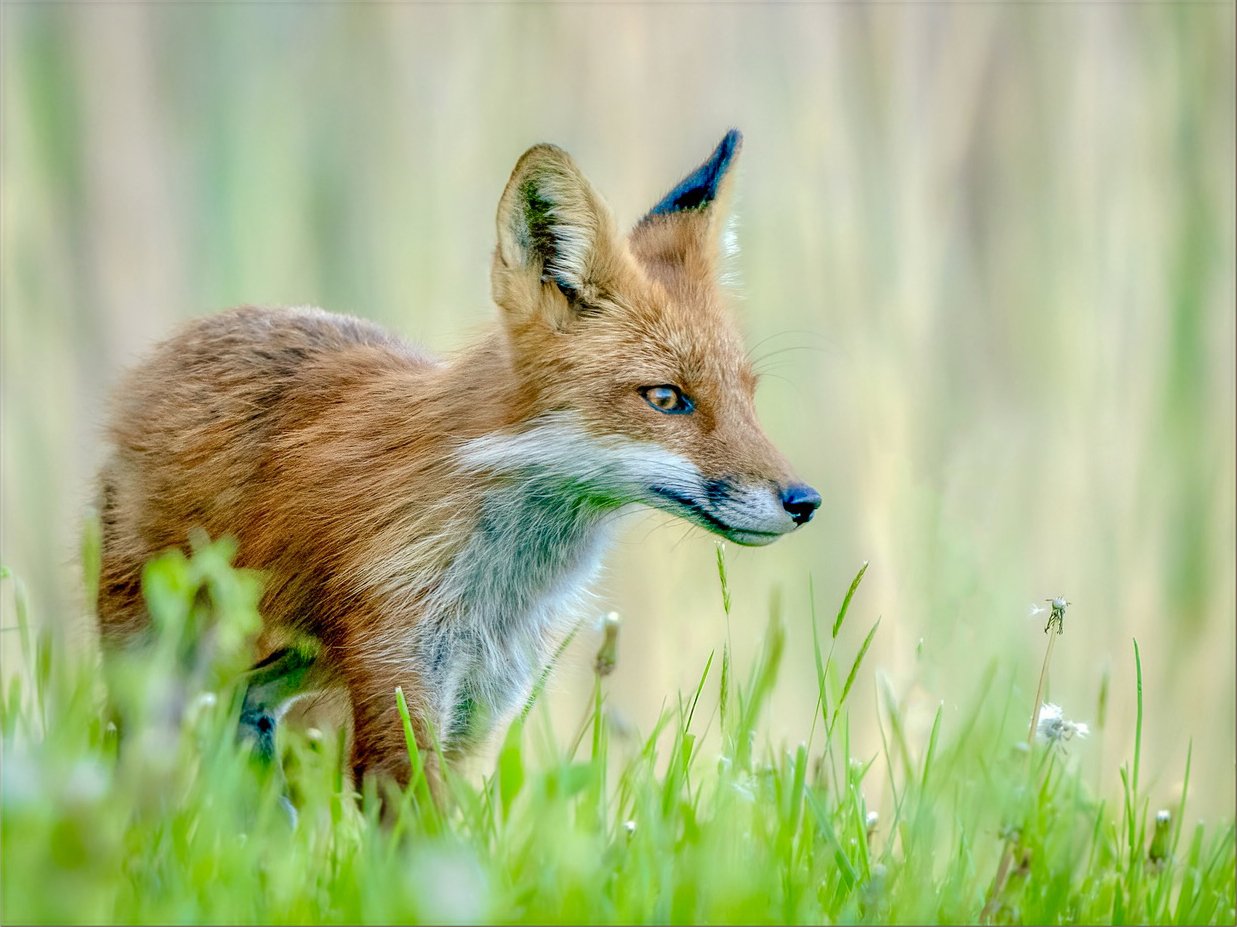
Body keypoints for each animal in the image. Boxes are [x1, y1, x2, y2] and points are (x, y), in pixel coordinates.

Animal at [94, 129, 811, 797]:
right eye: (666, 398)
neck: (502, 585)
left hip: (304, 662)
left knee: (247, 721)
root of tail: (178, 341)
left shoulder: (480, 704)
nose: (804, 501)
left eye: (747, 394)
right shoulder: (401, 679)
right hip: (156, 662)